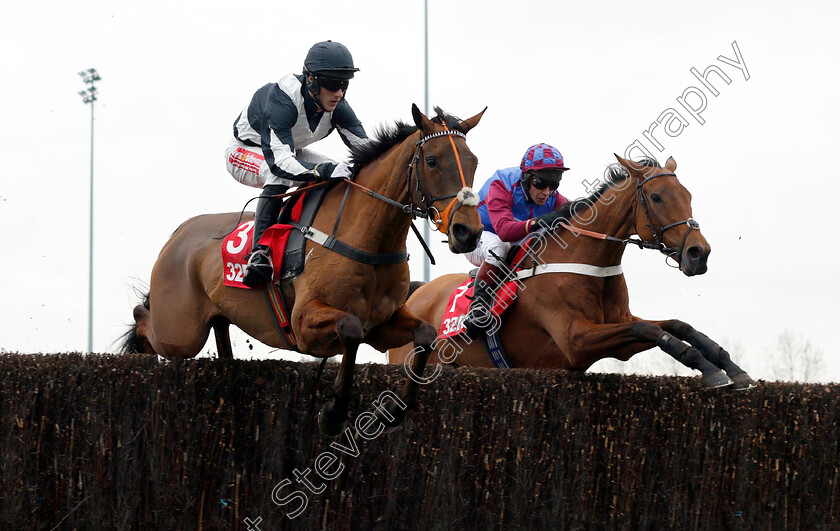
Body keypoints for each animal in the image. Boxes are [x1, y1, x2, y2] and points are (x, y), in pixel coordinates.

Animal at [120, 105, 486, 436]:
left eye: (474, 161)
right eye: (432, 161)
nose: (468, 232)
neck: (367, 237)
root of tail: (178, 234)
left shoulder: (382, 325)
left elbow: (424, 334)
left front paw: (394, 411)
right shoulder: (305, 322)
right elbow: (350, 327)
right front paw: (334, 412)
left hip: (211, 318)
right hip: (180, 332)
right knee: (144, 319)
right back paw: (137, 360)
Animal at [390, 154, 756, 390]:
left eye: (687, 195)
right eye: (656, 197)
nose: (699, 253)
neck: (588, 261)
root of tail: (418, 294)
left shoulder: (619, 326)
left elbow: (678, 326)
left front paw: (732, 368)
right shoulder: (576, 340)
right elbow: (650, 330)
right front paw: (710, 372)